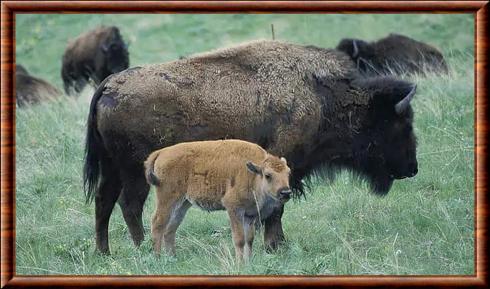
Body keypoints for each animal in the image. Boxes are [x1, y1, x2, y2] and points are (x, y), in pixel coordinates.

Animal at [145, 138, 290, 260]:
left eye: (288, 172)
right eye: (268, 175)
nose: (286, 192)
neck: (253, 174)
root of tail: (162, 152)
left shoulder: (250, 214)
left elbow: (249, 239)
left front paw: (248, 262)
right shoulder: (234, 208)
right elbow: (239, 239)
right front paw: (240, 263)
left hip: (182, 204)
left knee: (170, 229)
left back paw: (173, 258)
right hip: (167, 199)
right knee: (158, 223)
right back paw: (157, 258)